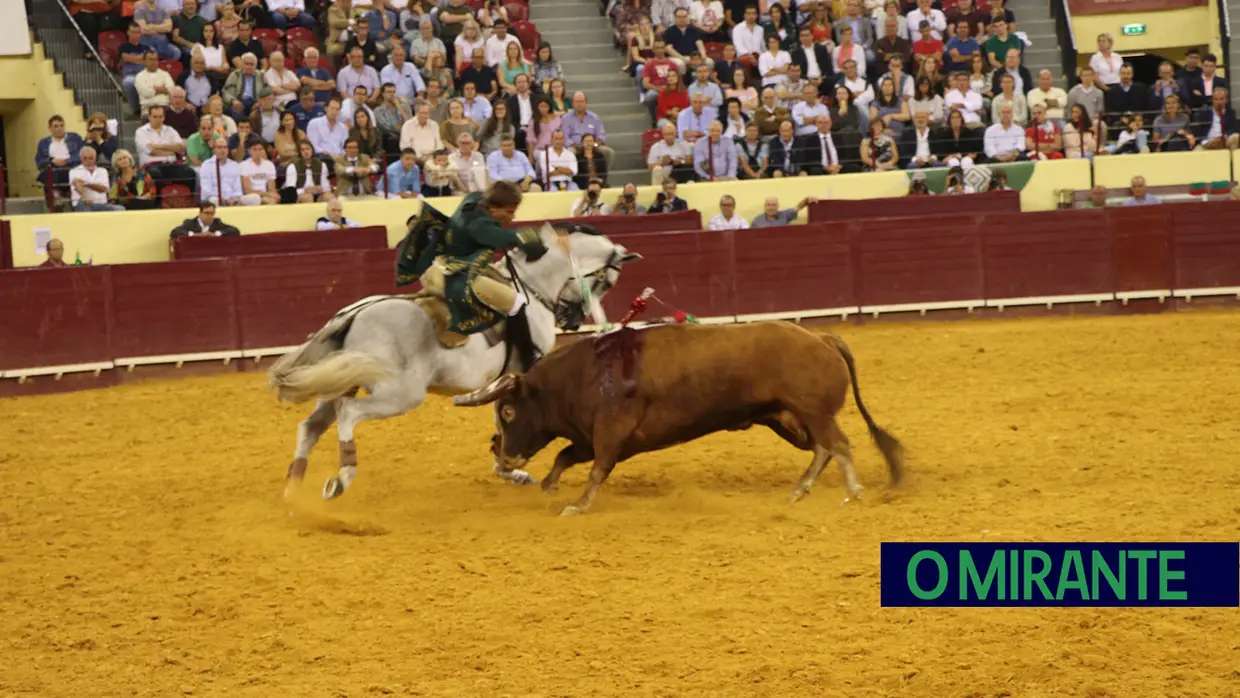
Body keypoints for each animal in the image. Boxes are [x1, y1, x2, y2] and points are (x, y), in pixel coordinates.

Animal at [264, 226, 639, 500]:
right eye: (606, 281)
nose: (572, 319)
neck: (532, 289)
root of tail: (357, 311)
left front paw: (509, 468)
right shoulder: (522, 374)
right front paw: (509, 466)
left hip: (343, 379)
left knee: (311, 426)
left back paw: (293, 491)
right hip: (399, 394)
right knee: (348, 412)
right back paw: (341, 479)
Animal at [453, 319, 902, 513]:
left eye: (508, 410)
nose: (503, 457)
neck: (582, 375)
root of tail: (821, 337)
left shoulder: (611, 433)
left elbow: (596, 469)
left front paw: (578, 505)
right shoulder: (595, 437)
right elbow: (567, 456)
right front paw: (548, 486)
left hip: (811, 411)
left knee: (838, 444)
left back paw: (854, 490)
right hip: (787, 418)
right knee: (823, 448)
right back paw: (800, 489)